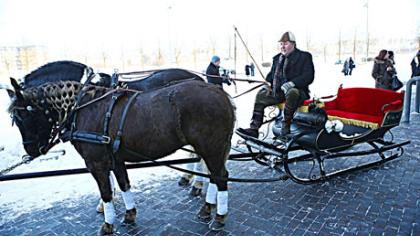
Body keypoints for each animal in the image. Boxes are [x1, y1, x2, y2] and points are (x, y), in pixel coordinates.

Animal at [6, 78, 235, 234]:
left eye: (24, 115)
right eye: (16, 119)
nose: (31, 152)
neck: (83, 109)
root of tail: (221, 93)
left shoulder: (96, 163)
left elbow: (106, 193)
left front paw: (108, 223)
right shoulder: (115, 159)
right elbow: (124, 184)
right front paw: (129, 213)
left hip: (211, 147)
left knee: (220, 176)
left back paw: (219, 216)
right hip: (211, 149)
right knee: (214, 175)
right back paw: (207, 207)